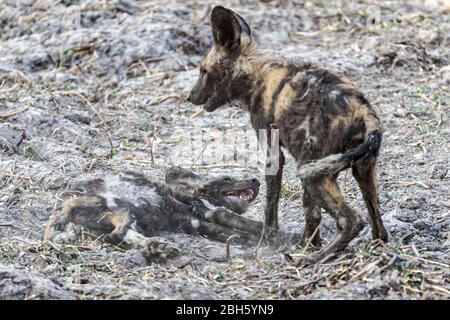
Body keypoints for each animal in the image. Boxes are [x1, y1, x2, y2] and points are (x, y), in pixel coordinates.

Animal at [44, 166, 262, 262]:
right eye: (227, 179)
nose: (255, 180)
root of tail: (60, 207)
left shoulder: (196, 221)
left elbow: (231, 232)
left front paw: (251, 240)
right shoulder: (210, 211)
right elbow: (240, 220)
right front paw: (266, 234)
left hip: (122, 216)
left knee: (119, 235)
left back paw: (157, 247)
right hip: (116, 206)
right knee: (117, 233)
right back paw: (158, 247)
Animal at [186, 5, 386, 262]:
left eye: (203, 71)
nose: (189, 97)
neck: (255, 75)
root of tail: (363, 110)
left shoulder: (273, 155)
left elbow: (271, 207)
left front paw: (267, 244)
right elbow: (312, 214)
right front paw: (306, 244)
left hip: (312, 173)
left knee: (351, 220)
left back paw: (312, 260)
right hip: (360, 170)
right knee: (377, 224)